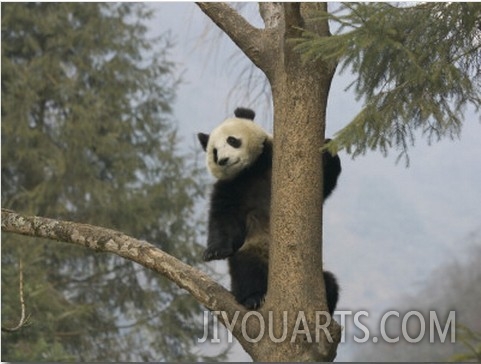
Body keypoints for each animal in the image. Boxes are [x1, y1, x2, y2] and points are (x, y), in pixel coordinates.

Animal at [197, 107, 340, 312]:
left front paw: (328, 148)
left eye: (232, 140)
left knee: (330, 282)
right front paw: (214, 251)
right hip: (254, 249)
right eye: (214, 152)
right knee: (247, 270)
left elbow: (325, 184)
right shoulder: (230, 186)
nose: (223, 160)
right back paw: (253, 298)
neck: (250, 169)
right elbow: (223, 219)